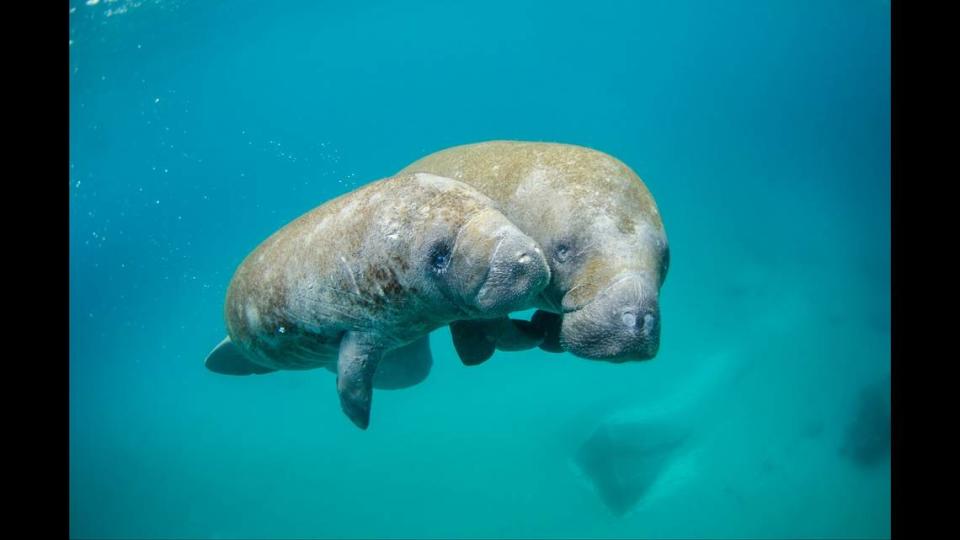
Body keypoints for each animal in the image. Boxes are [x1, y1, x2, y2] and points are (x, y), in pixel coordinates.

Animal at [205, 174, 552, 430]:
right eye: (439, 256)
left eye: (500, 211)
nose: (526, 256)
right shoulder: (361, 325)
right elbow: (353, 377)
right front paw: (359, 420)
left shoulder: (471, 299)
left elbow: (501, 330)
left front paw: (533, 332)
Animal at [398, 141, 668, 364]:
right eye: (562, 251)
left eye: (666, 262)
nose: (638, 319)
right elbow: (493, 324)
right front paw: (533, 334)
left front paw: (546, 334)